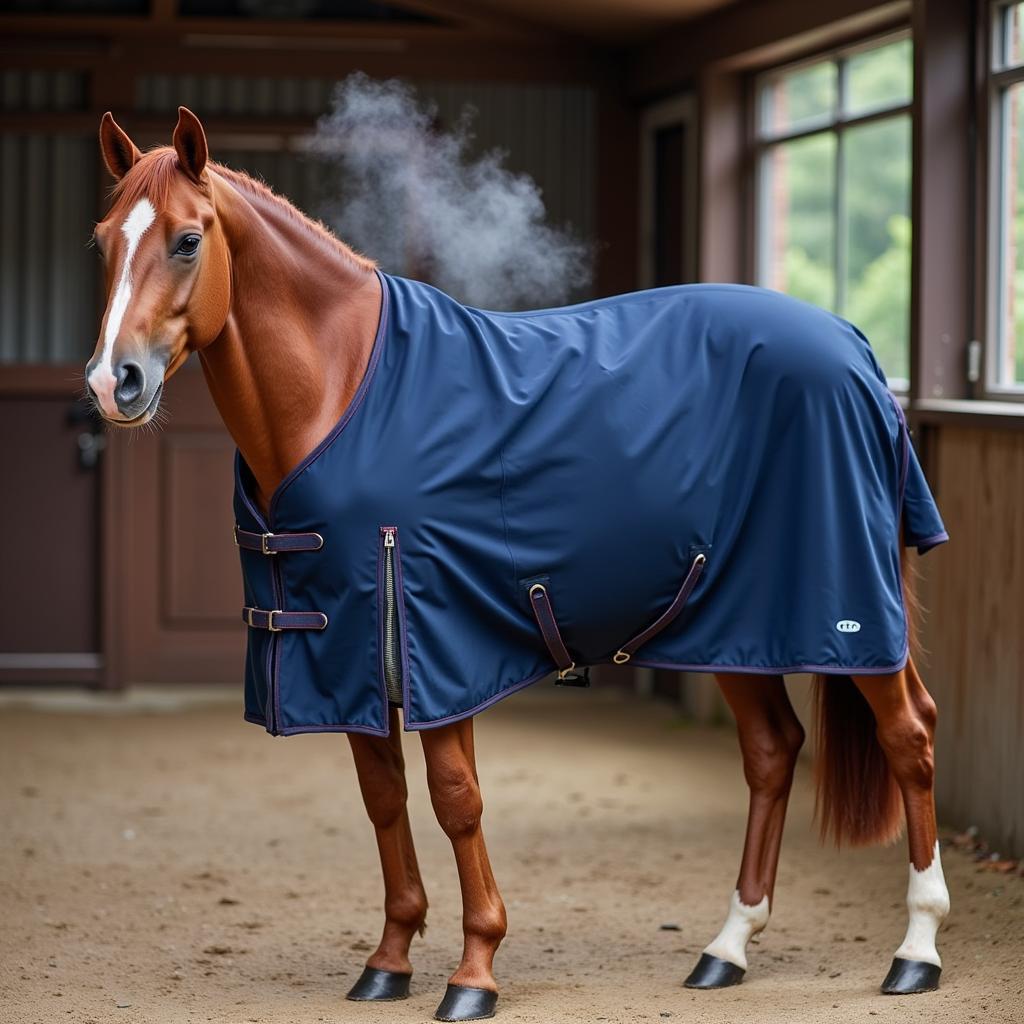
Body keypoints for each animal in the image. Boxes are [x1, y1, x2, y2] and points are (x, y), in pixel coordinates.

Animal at [86, 108, 950, 1019]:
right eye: (103, 240)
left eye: (188, 240)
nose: (115, 382)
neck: (342, 387)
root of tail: (854, 348)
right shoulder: (351, 652)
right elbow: (383, 799)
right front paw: (388, 960)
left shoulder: (435, 640)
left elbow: (454, 800)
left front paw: (475, 971)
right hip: (734, 622)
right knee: (773, 750)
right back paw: (727, 947)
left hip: (849, 616)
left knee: (907, 734)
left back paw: (916, 949)